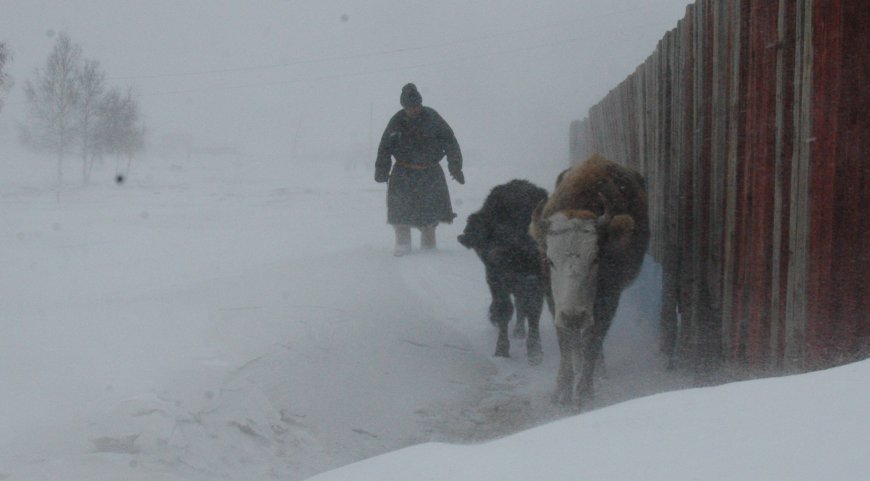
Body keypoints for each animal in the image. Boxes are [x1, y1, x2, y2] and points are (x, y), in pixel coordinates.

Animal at [460, 179, 548, 364]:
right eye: (493, 229)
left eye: (528, 221)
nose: (497, 254)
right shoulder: (496, 281)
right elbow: (504, 310)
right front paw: (501, 350)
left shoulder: (536, 281)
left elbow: (533, 310)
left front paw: (535, 353)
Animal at [532, 154, 648, 404]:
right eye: (549, 260)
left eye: (596, 259)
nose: (574, 315)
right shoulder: (555, 302)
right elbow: (567, 342)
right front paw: (562, 392)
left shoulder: (609, 299)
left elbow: (592, 340)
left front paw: (584, 393)